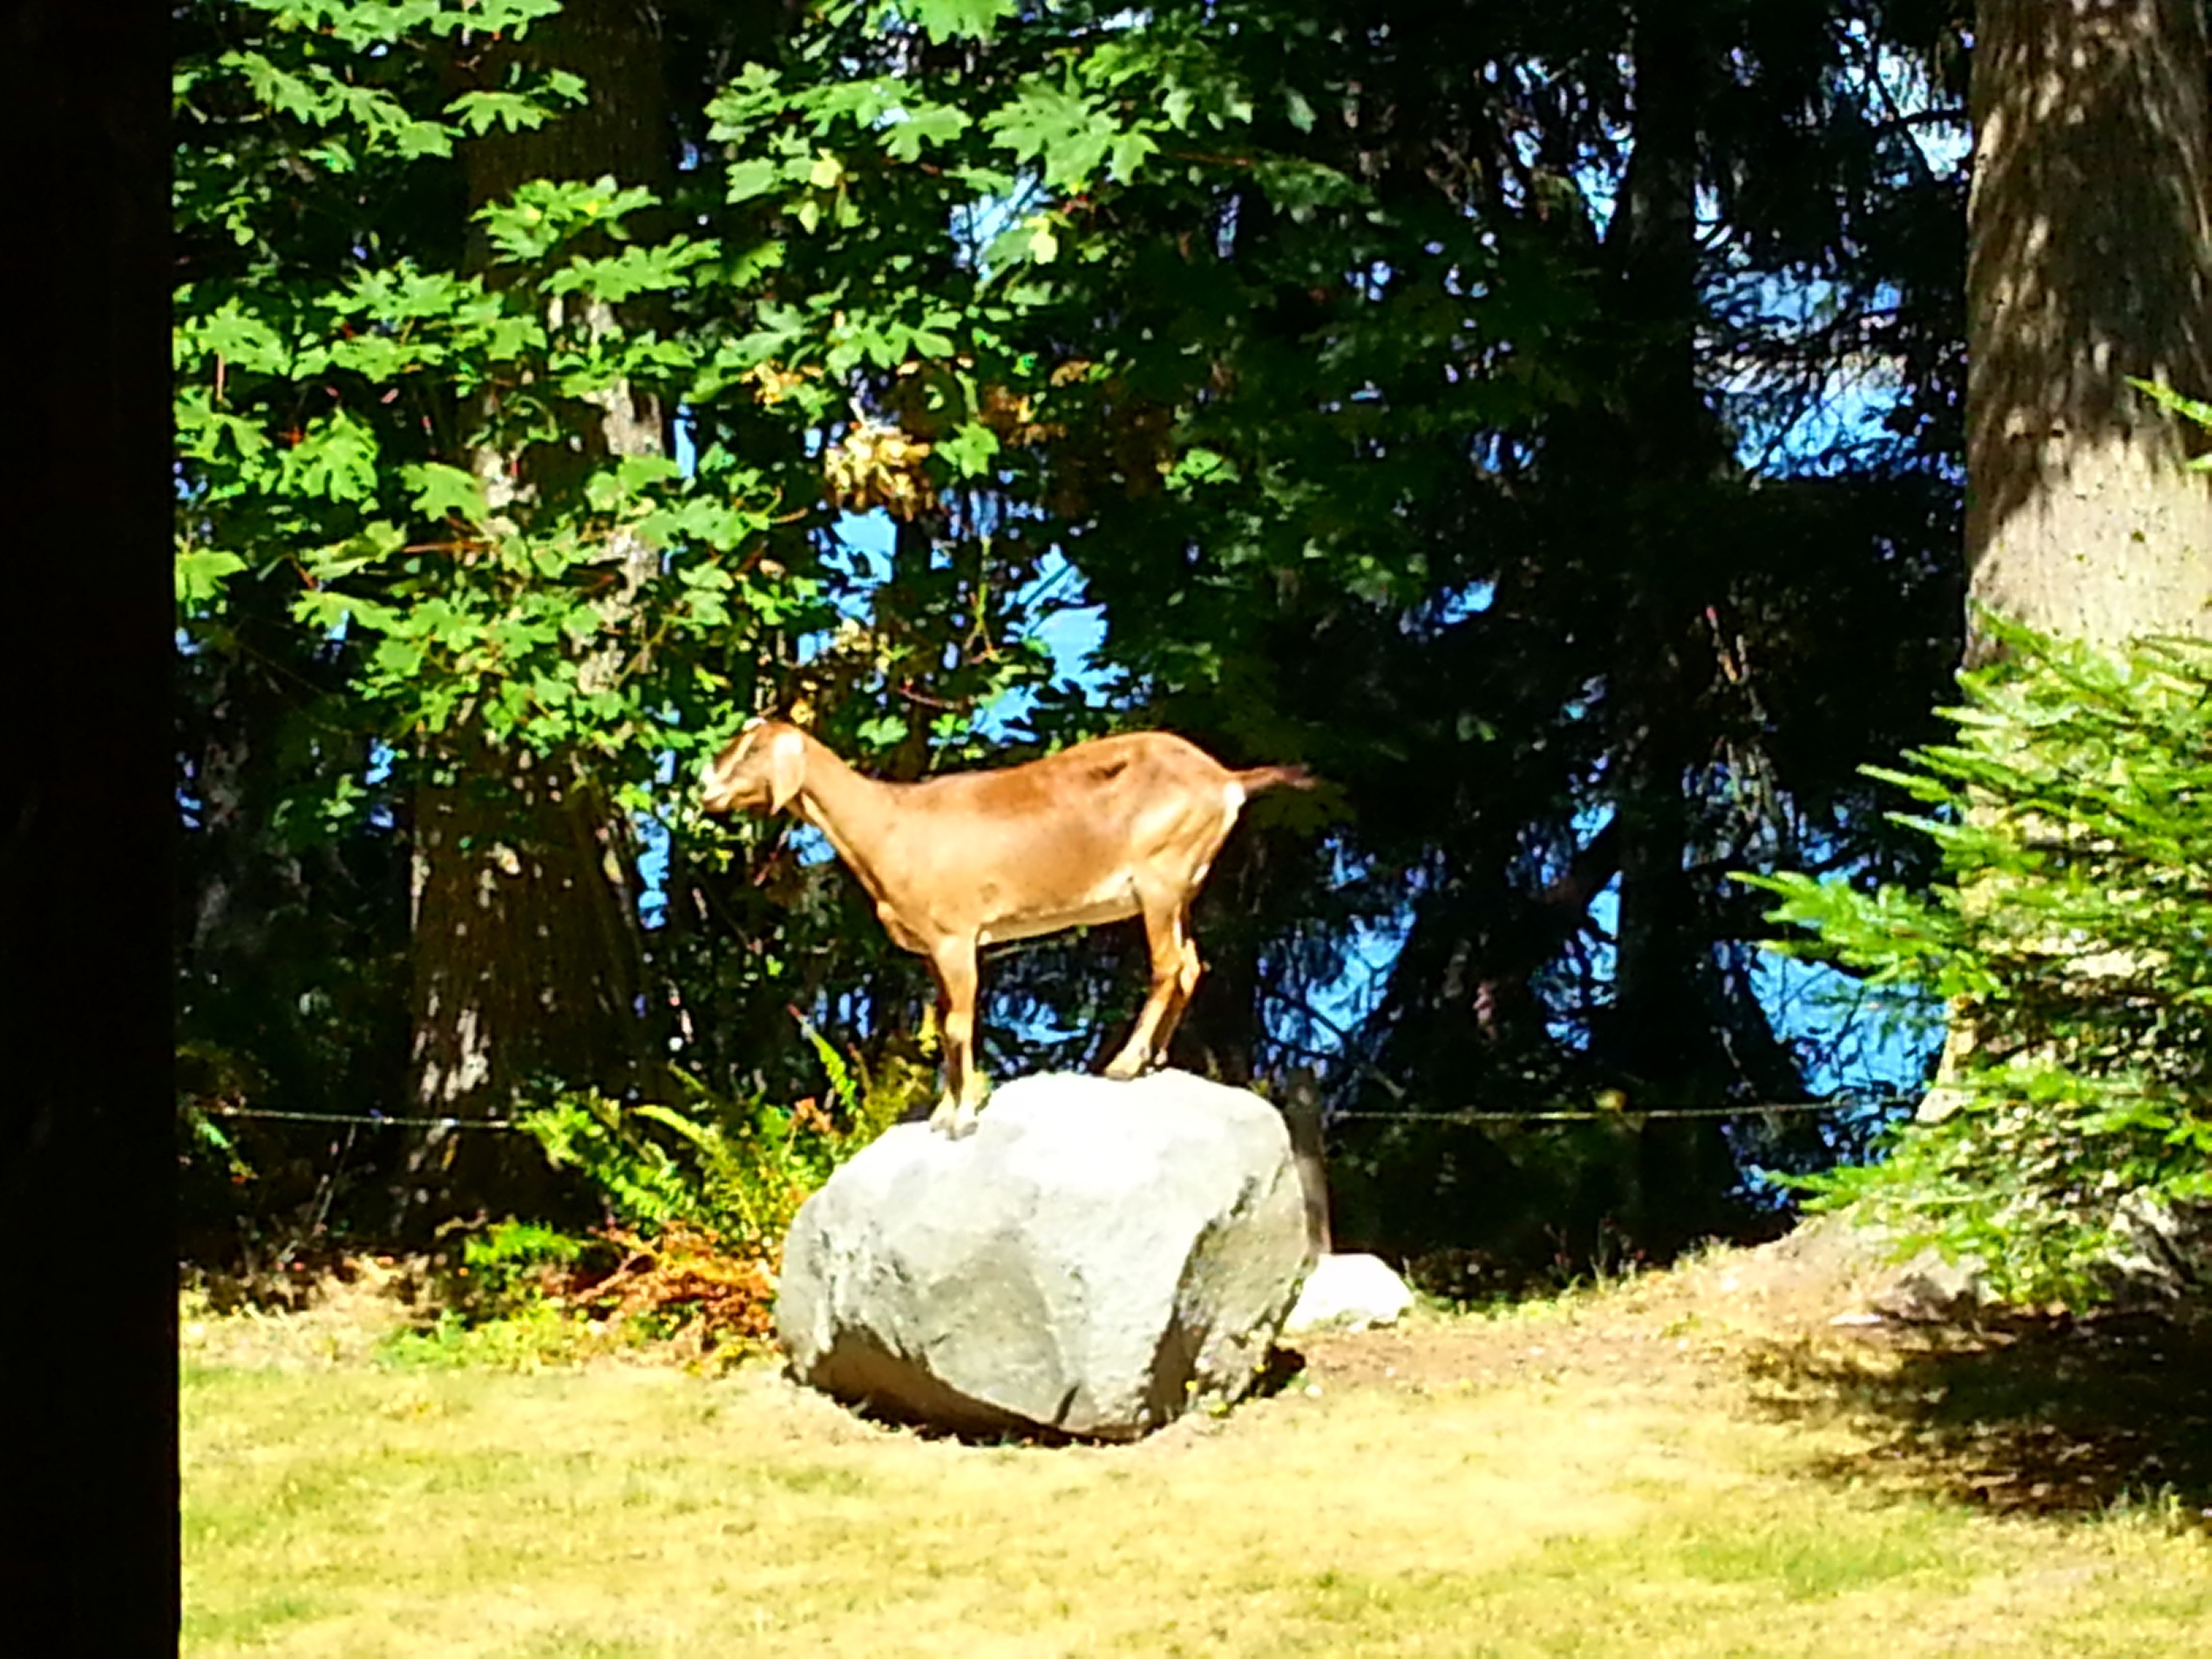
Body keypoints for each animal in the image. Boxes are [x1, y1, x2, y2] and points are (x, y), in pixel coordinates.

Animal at [699, 725, 1300, 1141]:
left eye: (751, 749)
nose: (706, 789)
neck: (891, 824)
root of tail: (1226, 781)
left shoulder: (957, 937)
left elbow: (959, 1025)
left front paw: (962, 1118)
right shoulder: (935, 951)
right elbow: (946, 1024)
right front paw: (944, 1112)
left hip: (1160, 879)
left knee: (1167, 966)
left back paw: (1124, 1065)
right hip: (1182, 891)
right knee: (1192, 964)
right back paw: (1151, 1060)